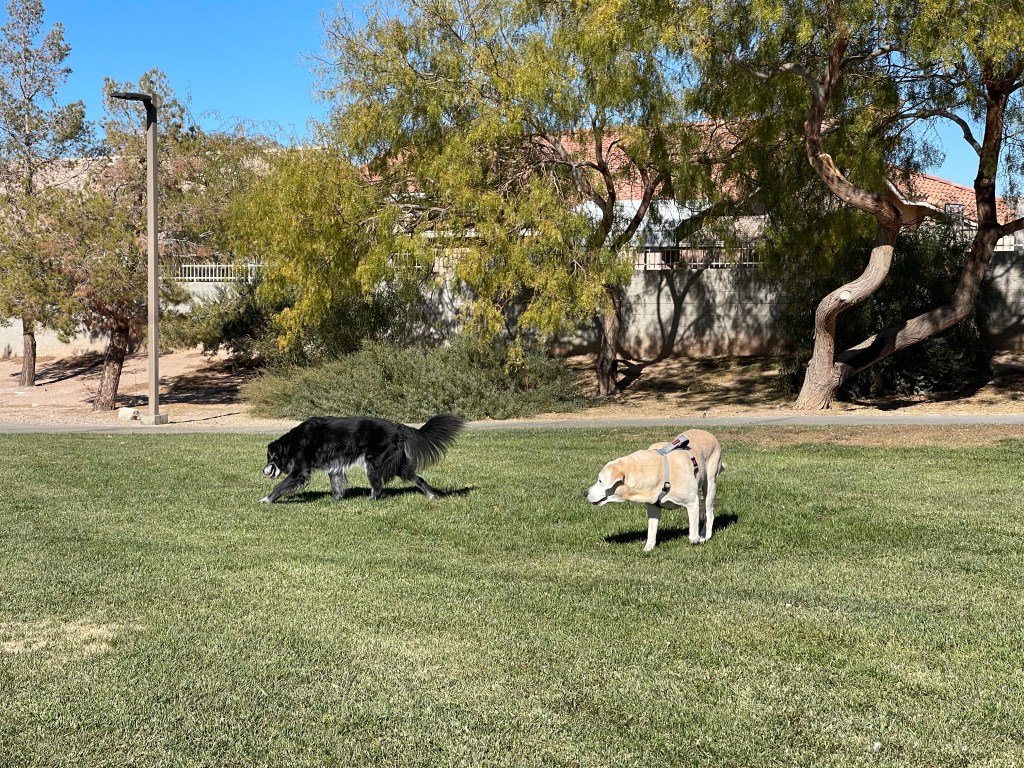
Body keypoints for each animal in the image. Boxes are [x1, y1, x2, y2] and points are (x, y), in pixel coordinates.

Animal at [260, 413, 465, 503]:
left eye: (269, 458)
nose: (263, 470)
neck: (292, 442)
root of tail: (398, 427)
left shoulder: (300, 471)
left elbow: (280, 486)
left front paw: (267, 499)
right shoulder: (335, 468)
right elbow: (336, 485)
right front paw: (335, 501)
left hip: (373, 463)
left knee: (378, 486)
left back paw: (371, 501)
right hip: (398, 465)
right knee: (418, 478)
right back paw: (431, 495)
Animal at [585, 429, 725, 551]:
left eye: (600, 481)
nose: (584, 493)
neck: (659, 472)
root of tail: (709, 434)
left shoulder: (692, 502)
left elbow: (693, 536)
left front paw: (699, 539)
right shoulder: (653, 507)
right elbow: (651, 531)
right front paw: (648, 548)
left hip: (710, 484)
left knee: (709, 513)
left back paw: (706, 535)